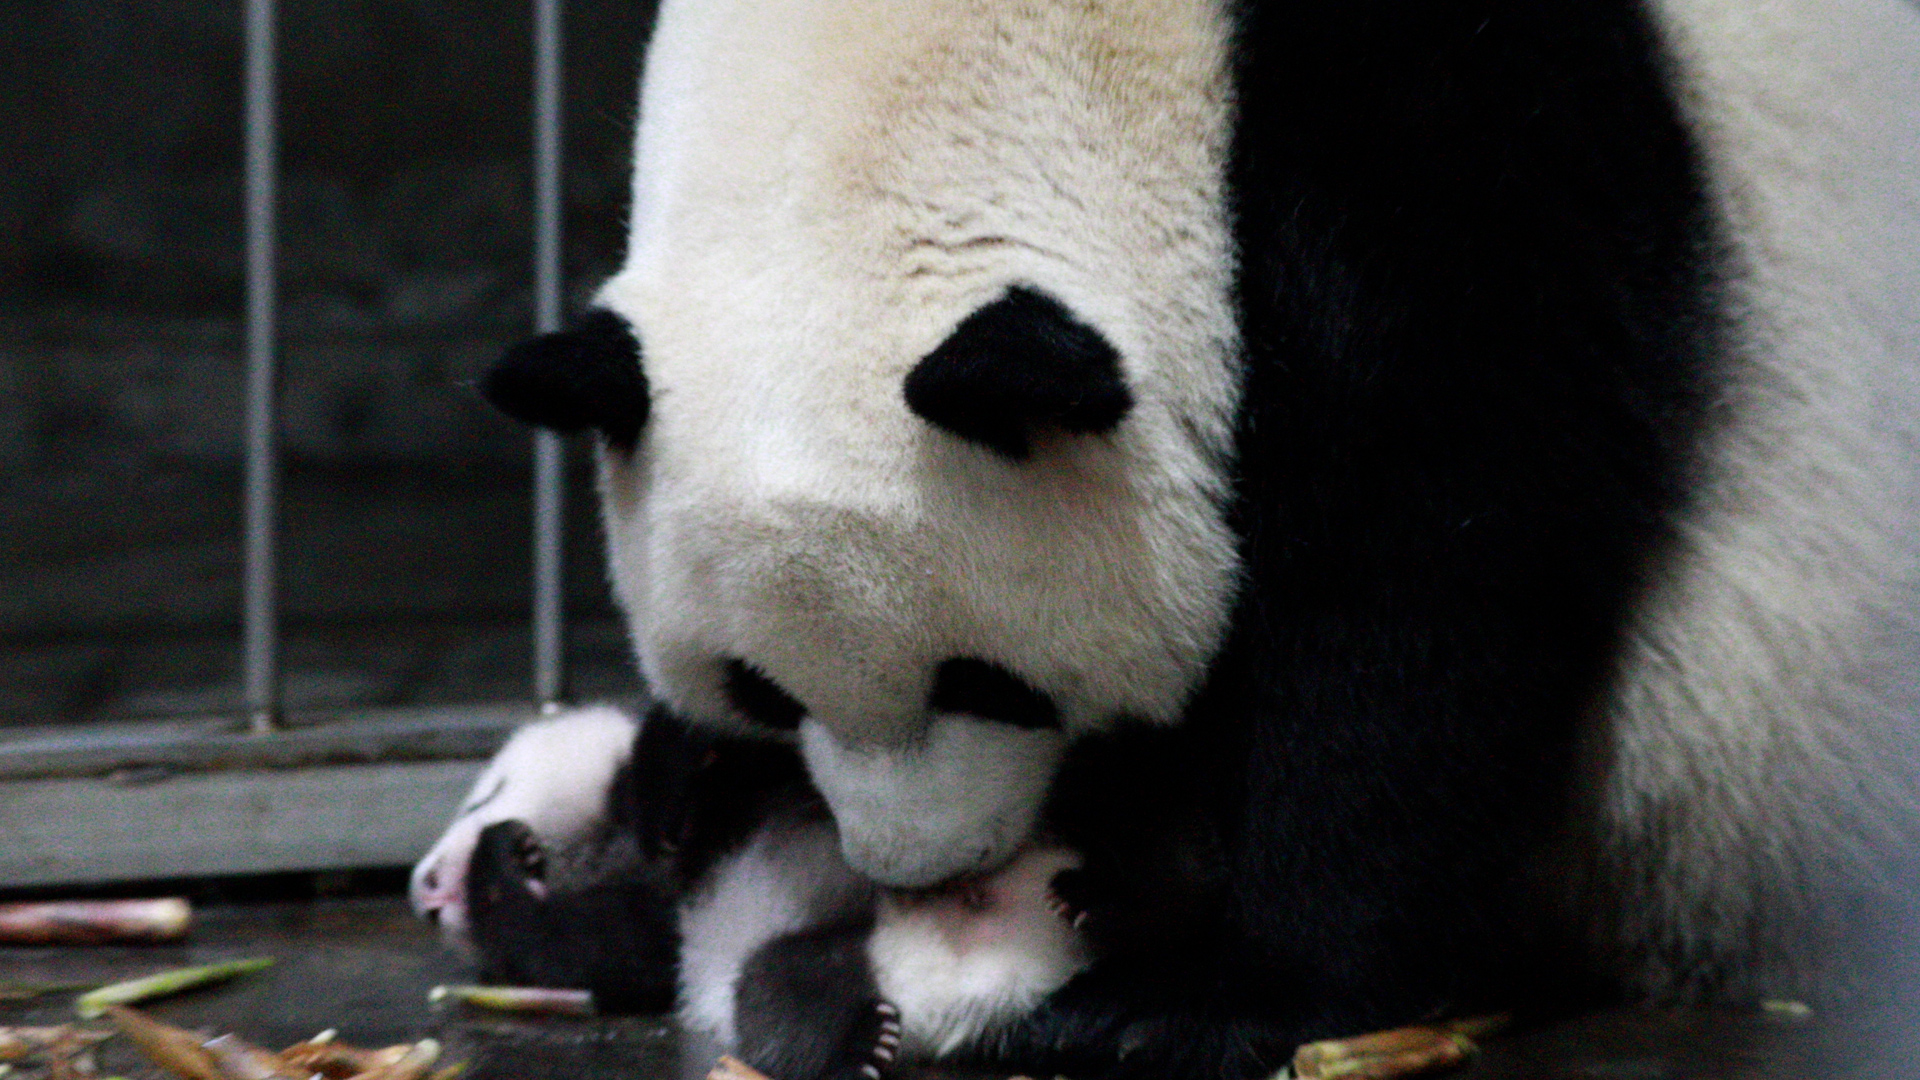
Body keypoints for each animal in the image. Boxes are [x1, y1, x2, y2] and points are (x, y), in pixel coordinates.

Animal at [414, 706, 1098, 1080]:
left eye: (482, 792)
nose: (425, 888)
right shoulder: (664, 918)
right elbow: (586, 950)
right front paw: (505, 862)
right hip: (839, 955)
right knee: (789, 990)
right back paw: (859, 1047)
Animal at [481, 0, 1920, 1076]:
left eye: (985, 680)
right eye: (765, 690)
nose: (919, 869)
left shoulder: (1456, 132)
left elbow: (1439, 542)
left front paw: (1205, 995)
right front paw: (686, 780)